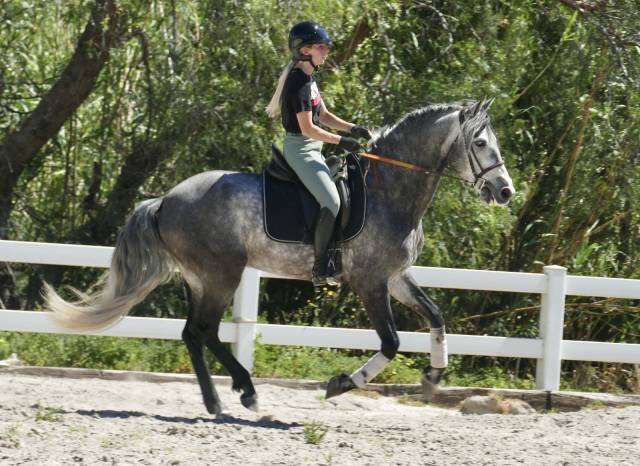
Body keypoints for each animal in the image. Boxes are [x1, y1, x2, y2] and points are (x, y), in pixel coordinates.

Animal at [44, 98, 515, 416]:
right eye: (480, 143)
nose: (505, 191)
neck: (389, 190)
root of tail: (165, 200)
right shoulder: (369, 282)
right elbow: (391, 342)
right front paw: (341, 383)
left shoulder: (396, 277)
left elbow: (436, 316)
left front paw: (433, 376)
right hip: (222, 275)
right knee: (204, 330)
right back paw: (246, 393)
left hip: (201, 279)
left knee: (195, 334)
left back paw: (219, 401)